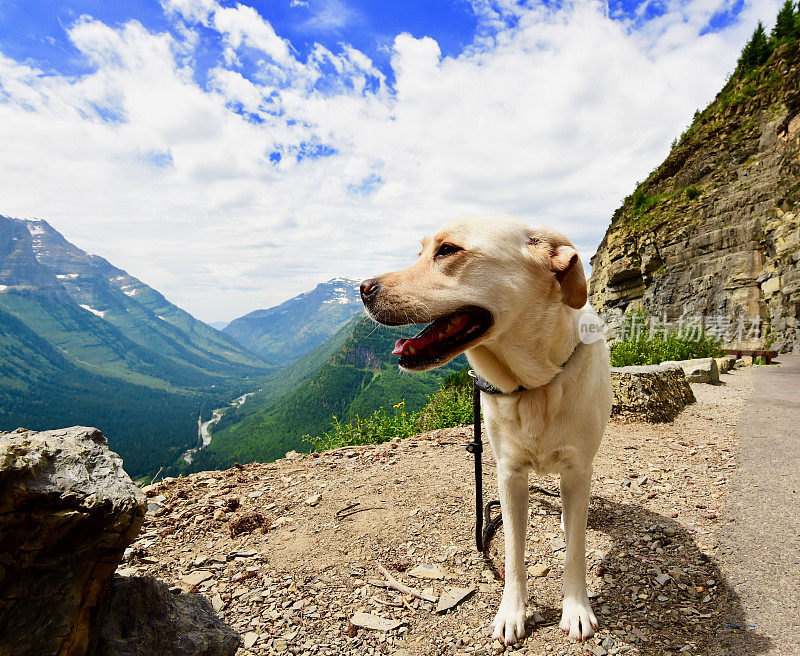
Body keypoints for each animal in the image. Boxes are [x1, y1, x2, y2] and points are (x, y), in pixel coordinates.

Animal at [360, 217, 612, 644]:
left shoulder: (579, 469)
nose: (363, 288)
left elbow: (576, 548)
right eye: (420, 252)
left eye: (447, 250)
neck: (534, 385)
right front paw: (512, 612)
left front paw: (577, 608)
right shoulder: (508, 474)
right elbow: (512, 551)